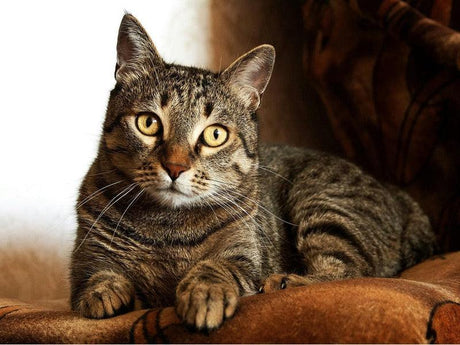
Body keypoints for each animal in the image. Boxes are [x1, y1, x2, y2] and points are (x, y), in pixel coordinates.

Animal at [70, 14, 436, 330]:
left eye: (215, 134)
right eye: (148, 123)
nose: (175, 167)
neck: (165, 229)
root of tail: (403, 200)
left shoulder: (244, 253)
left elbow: (216, 266)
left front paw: (205, 293)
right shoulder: (86, 258)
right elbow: (96, 277)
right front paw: (106, 293)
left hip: (323, 202)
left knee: (350, 272)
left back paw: (287, 281)